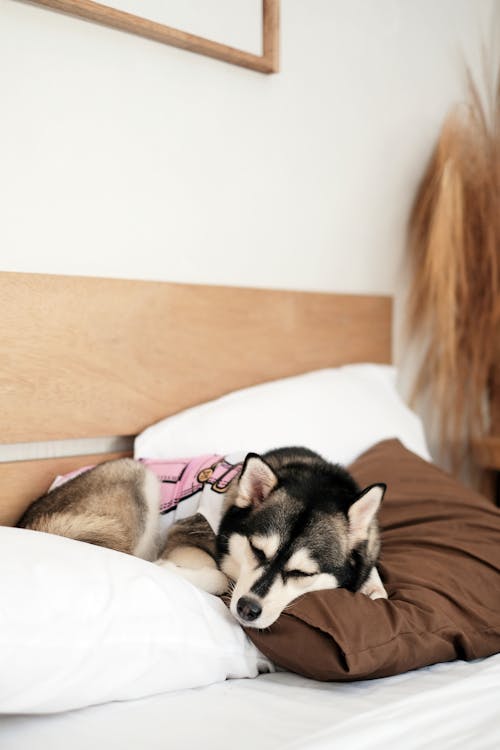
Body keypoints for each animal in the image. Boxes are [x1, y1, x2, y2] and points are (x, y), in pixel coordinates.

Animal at [18, 450, 386, 632]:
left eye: (301, 574)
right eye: (257, 550)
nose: (247, 609)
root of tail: (27, 521)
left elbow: (377, 587)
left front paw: (374, 588)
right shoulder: (187, 531)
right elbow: (219, 575)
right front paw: (176, 570)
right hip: (136, 477)